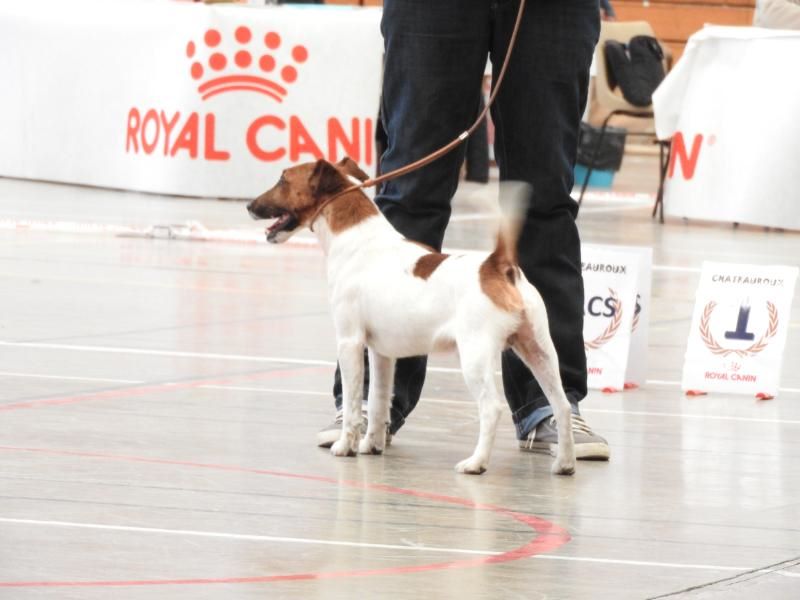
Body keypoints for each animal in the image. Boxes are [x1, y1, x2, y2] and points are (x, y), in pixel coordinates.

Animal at [248, 157, 576, 476]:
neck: (356, 238)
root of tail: (497, 266)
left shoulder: (350, 342)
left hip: (475, 355)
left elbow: (354, 403)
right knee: (561, 404)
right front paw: (372, 444)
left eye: (283, 179)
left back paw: (476, 463)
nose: (250, 206)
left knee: (492, 407)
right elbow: (378, 401)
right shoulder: (381, 353)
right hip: (538, 350)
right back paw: (565, 463)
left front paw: (345, 445)